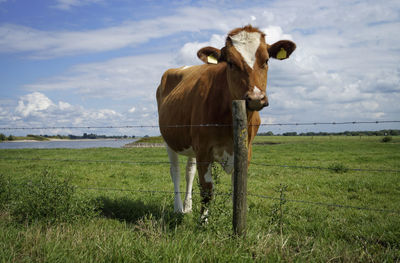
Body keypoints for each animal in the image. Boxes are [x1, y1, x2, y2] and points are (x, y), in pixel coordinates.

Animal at [157, 25, 296, 221]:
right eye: (230, 63)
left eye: (267, 60)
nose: (256, 98)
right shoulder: (203, 149)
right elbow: (207, 191)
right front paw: (203, 221)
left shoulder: (245, 150)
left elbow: (237, 187)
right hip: (169, 140)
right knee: (175, 171)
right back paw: (178, 209)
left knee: (189, 171)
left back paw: (187, 207)